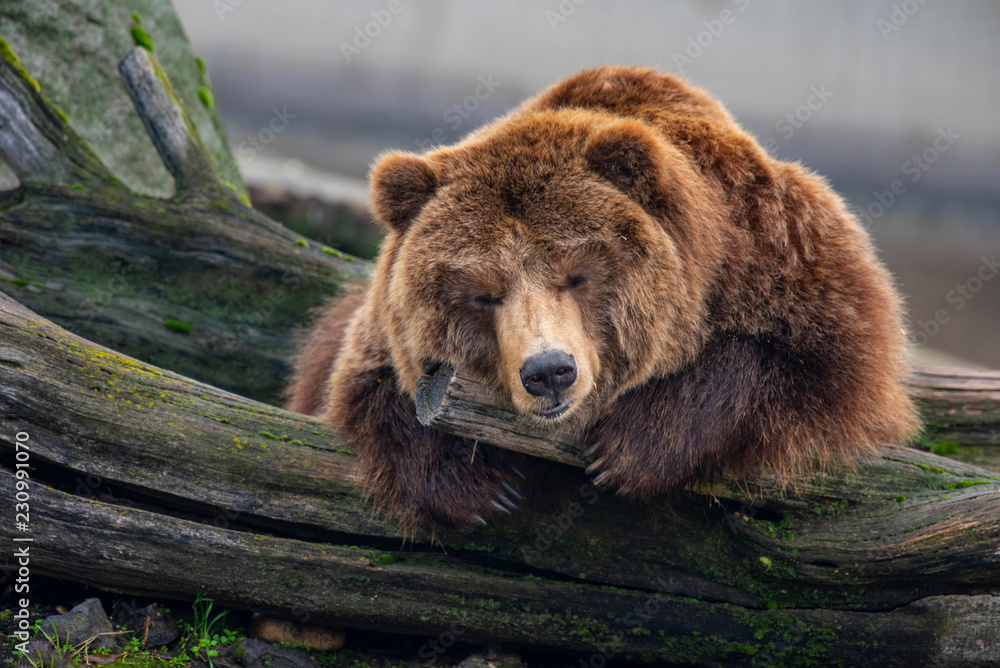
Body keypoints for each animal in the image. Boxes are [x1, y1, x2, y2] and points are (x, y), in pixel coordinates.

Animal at [286, 65, 919, 530]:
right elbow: (368, 388)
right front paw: (477, 485)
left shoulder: (775, 249)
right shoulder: (377, 334)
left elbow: (827, 365)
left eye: (578, 274)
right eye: (482, 293)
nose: (549, 372)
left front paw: (631, 447)